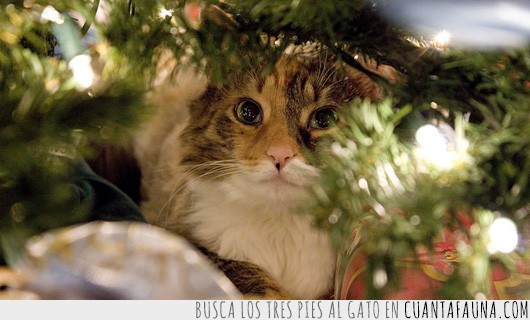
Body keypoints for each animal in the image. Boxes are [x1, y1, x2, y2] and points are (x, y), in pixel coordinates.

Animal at [130, 51, 382, 298]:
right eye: (248, 112)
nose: (280, 154)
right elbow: (247, 274)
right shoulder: (174, 236)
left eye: (325, 119)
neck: (281, 227)